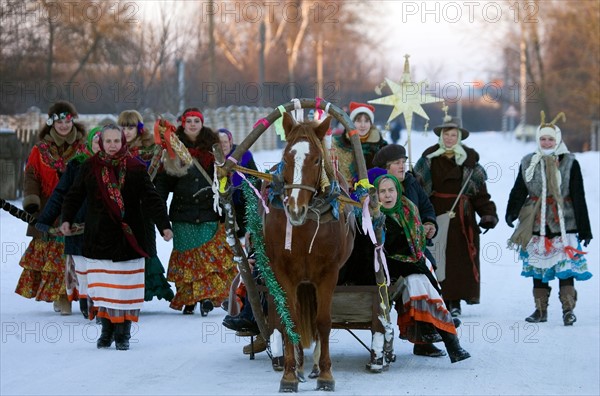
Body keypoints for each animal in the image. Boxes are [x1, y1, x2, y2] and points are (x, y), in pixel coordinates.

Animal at [264, 112, 356, 392]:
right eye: (286, 158)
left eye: (316, 159)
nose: (295, 209)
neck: (303, 230)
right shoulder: (284, 273)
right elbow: (290, 321)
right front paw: (289, 375)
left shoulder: (328, 274)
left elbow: (323, 321)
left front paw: (326, 374)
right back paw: (301, 365)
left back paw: (314, 365)